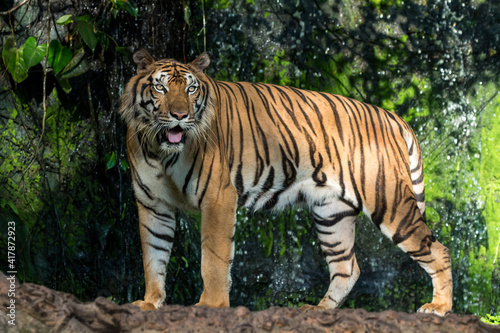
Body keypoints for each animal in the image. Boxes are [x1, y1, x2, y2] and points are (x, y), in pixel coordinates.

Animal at [120, 48, 454, 314]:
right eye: (160, 87)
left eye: (191, 90)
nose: (180, 115)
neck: (160, 150)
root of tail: (392, 117)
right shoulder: (152, 204)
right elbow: (153, 254)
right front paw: (150, 302)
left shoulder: (217, 197)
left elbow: (213, 257)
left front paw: (210, 305)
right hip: (331, 214)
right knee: (347, 267)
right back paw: (318, 310)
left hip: (389, 201)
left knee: (439, 250)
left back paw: (439, 307)